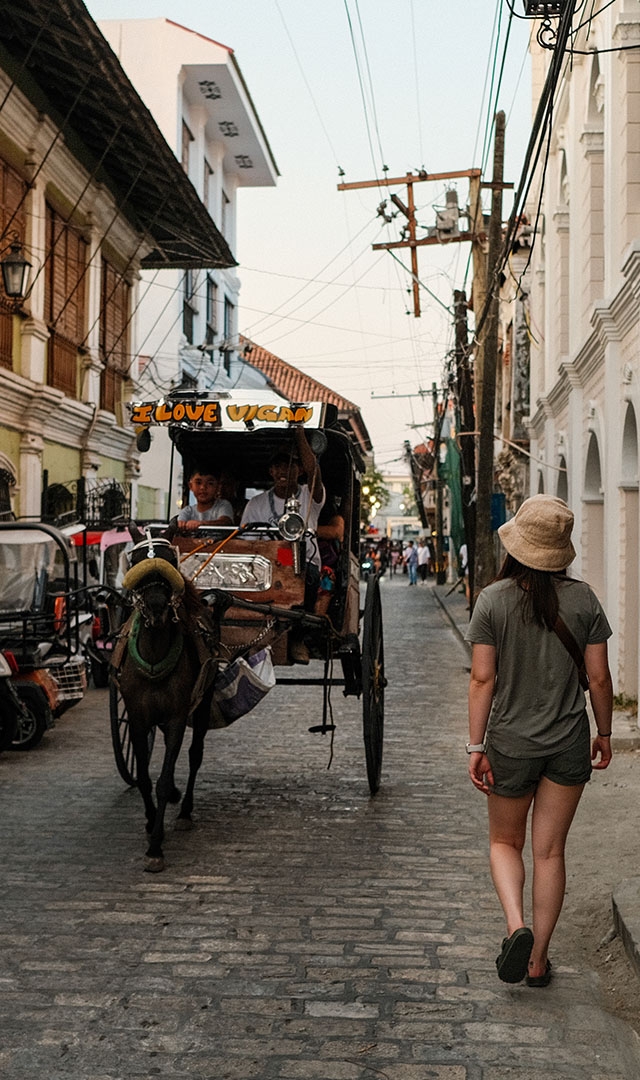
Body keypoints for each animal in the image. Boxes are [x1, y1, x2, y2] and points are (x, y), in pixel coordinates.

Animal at [117, 537, 220, 868]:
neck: (153, 656)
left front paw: (155, 848)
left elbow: (161, 780)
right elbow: (144, 777)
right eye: (137, 562)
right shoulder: (137, 718)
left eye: (169, 562)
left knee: (195, 753)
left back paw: (185, 809)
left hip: (203, 700)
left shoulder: (177, 716)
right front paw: (151, 823)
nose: (156, 608)